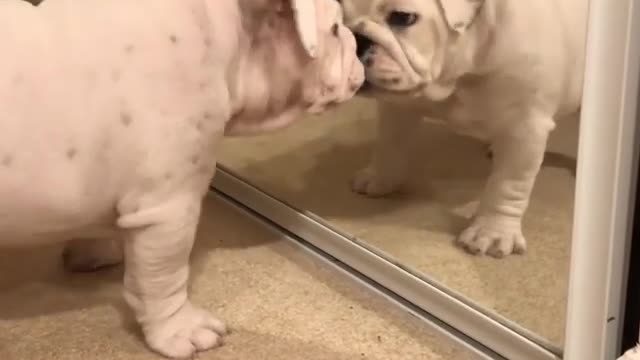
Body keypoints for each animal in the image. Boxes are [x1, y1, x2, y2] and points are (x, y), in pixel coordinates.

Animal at [0, 0, 362, 358]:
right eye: (334, 28)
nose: (357, 40)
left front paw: (94, 250)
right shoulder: (169, 210)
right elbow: (164, 278)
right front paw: (182, 330)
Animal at [342, 0, 588, 258]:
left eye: (403, 17)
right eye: (338, 11)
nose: (354, 37)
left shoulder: (525, 128)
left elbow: (508, 184)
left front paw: (493, 232)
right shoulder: (398, 106)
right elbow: (389, 143)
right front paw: (379, 178)